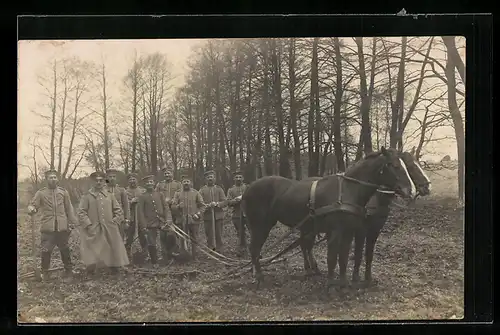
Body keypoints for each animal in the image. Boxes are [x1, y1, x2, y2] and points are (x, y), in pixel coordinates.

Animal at [242, 148, 414, 288]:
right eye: (395, 166)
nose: (410, 191)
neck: (347, 190)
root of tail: (247, 189)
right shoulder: (336, 231)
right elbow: (332, 257)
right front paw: (331, 283)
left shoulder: (349, 231)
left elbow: (344, 256)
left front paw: (344, 282)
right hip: (261, 226)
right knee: (254, 249)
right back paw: (259, 276)